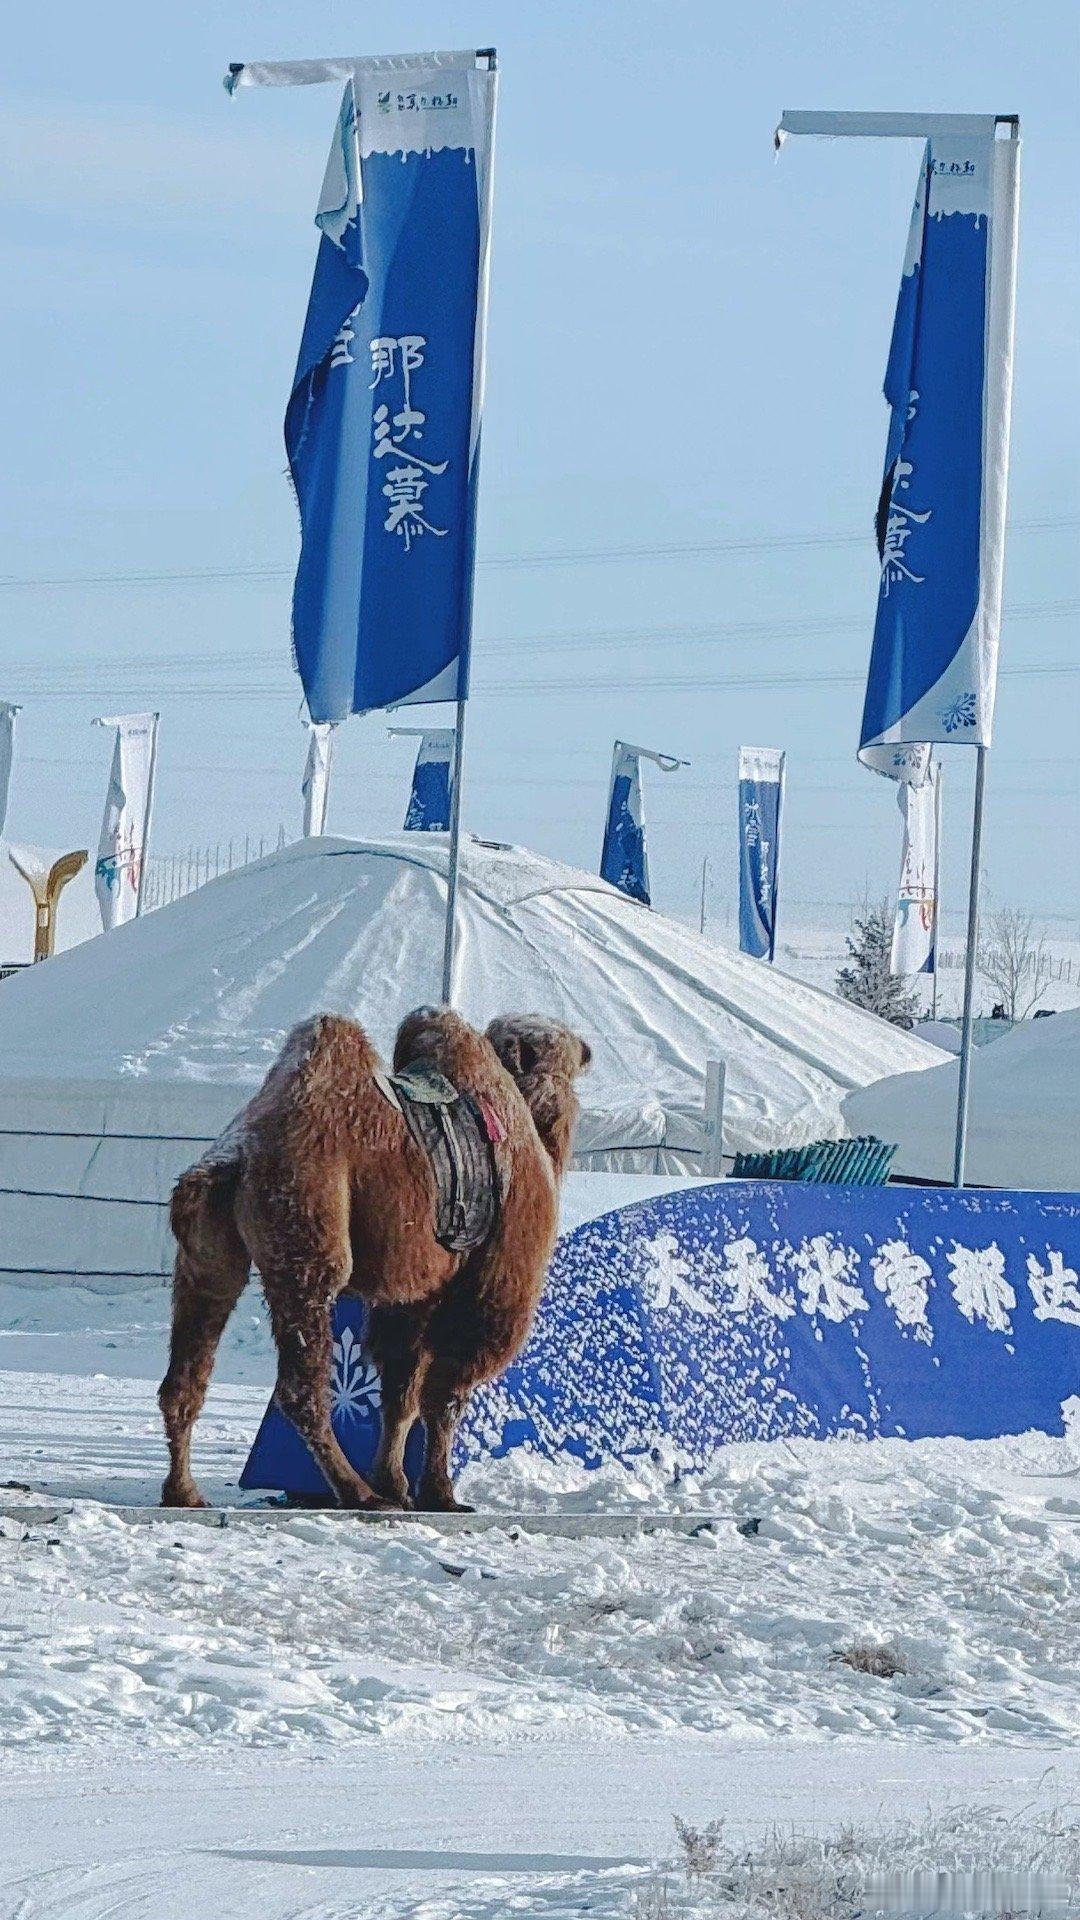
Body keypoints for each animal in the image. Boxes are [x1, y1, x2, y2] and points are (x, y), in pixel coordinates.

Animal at [157, 1006, 588, 1512]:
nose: (585, 1051)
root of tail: (235, 1155)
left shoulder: (414, 1292)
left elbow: (400, 1390)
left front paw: (396, 1484)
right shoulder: (494, 1279)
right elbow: (447, 1391)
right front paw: (439, 1494)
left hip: (208, 1250)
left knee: (189, 1368)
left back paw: (184, 1491)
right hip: (307, 1227)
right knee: (302, 1382)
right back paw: (357, 1492)